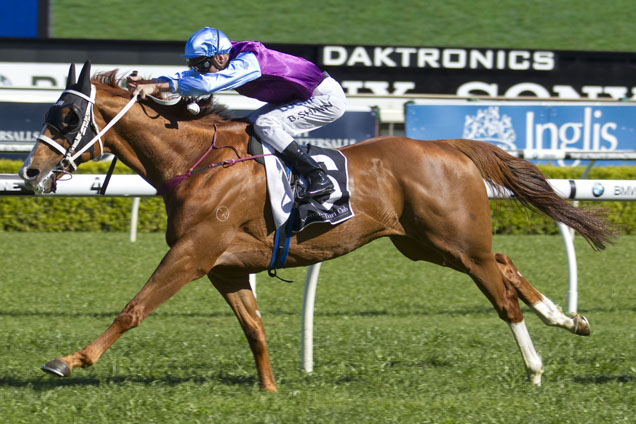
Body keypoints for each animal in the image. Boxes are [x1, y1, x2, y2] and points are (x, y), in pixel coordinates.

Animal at [22, 62, 612, 390]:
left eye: (67, 118)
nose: (30, 173)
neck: (199, 163)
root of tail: (449, 145)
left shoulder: (193, 253)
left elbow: (134, 308)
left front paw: (69, 361)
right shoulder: (225, 267)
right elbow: (254, 328)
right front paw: (269, 389)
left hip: (454, 240)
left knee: (500, 294)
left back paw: (535, 366)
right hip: (425, 244)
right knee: (505, 263)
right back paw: (569, 320)